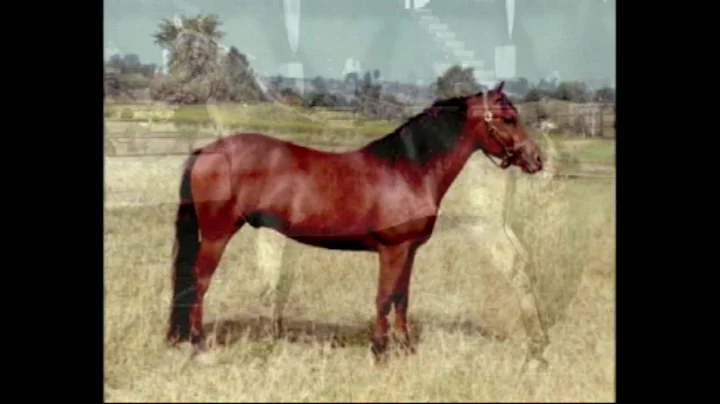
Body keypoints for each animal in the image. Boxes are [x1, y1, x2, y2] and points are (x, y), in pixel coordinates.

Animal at [165, 80, 544, 362]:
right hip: (217, 235)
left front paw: (406, 348)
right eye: (508, 118)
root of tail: (206, 151)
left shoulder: (409, 250)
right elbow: (384, 298)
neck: (407, 169)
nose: (536, 159)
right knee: (198, 282)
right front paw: (380, 351)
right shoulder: (392, 250)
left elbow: (402, 298)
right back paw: (198, 343)